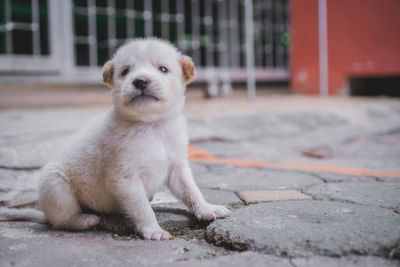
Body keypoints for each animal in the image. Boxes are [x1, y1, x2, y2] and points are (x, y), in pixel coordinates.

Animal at [36, 37, 230, 241]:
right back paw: (83, 220)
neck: (152, 126)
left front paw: (206, 209)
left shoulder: (177, 168)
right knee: (62, 220)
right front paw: (153, 229)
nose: (140, 81)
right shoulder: (126, 179)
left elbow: (191, 191)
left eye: (163, 69)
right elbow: (143, 209)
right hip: (56, 185)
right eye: (125, 71)